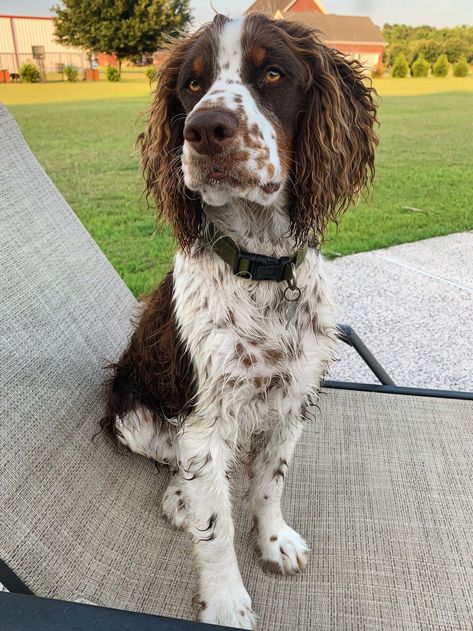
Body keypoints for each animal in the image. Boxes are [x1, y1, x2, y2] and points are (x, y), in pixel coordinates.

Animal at [101, 12, 378, 628]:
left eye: (272, 73)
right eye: (191, 84)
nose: (204, 129)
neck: (261, 267)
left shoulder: (293, 399)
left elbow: (269, 484)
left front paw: (274, 542)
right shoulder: (203, 424)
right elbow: (216, 527)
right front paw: (227, 602)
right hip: (132, 413)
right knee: (175, 464)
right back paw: (180, 498)